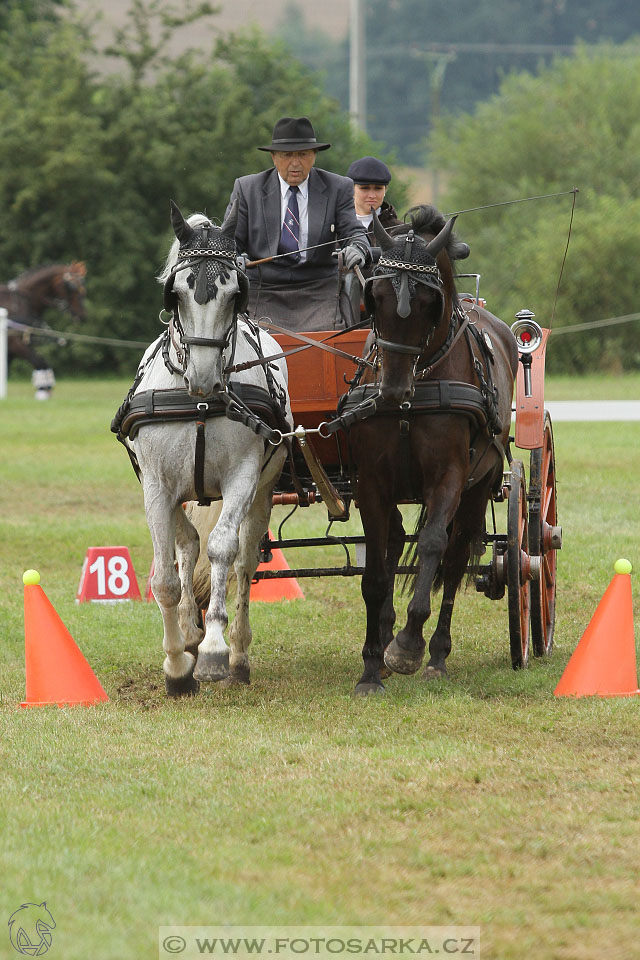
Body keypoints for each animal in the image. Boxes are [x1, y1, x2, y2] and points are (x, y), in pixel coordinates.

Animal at [0, 260, 86, 396]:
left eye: (82, 287)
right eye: (71, 287)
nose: (82, 316)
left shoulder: (13, 350)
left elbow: (41, 362)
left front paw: (45, 387)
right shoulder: (15, 344)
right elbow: (39, 360)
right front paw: (43, 388)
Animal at [116, 204, 292, 696]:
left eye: (235, 294)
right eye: (176, 293)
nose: (203, 378)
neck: (194, 400)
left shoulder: (243, 478)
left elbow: (221, 551)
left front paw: (213, 650)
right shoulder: (157, 488)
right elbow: (165, 579)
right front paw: (178, 665)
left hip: (264, 490)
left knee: (245, 562)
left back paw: (237, 653)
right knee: (186, 546)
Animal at [344, 206, 520, 692]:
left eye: (428, 303)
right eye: (376, 295)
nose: (391, 391)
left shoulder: (450, 477)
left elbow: (432, 545)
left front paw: (407, 645)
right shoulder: (371, 483)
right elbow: (375, 572)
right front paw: (372, 665)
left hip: (481, 484)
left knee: (456, 557)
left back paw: (436, 652)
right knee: (395, 540)